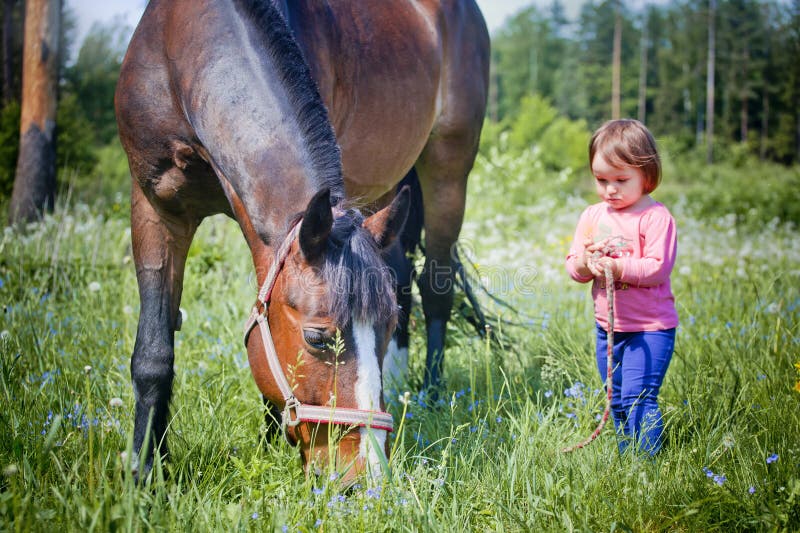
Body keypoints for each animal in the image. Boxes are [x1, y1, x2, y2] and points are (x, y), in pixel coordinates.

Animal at [112, 0, 488, 482]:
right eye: (317, 338)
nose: (368, 476)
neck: (181, 48)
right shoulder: (155, 206)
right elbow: (154, 350)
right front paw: (144, 471)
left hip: (448, 171)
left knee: (436, 286)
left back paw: (433, 393)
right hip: (386, 194)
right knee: (402, 273)